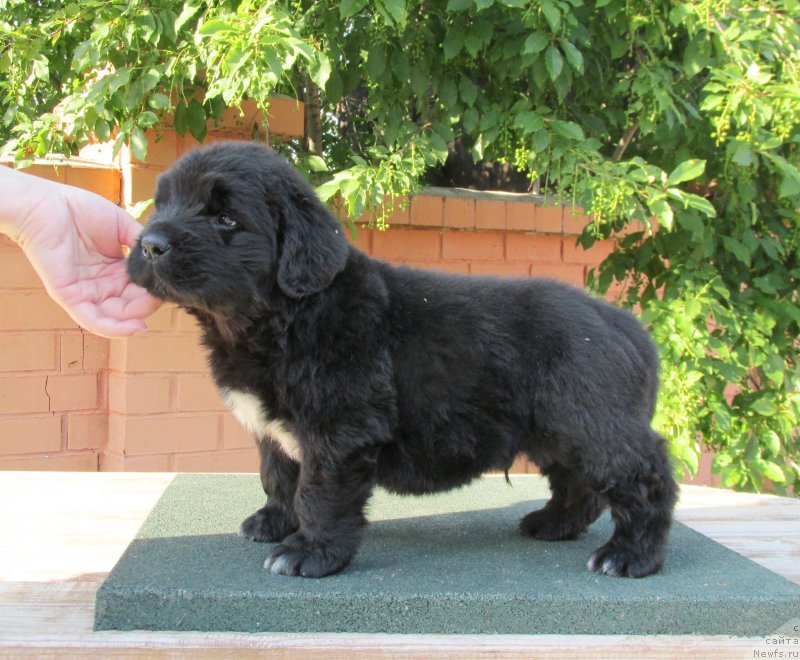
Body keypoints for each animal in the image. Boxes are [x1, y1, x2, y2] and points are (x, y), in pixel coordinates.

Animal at [128, 139, 680, 576]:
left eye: (225, 217)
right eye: (163, 204)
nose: (150, 245)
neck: (285, 319)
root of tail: (624, 324)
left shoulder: (339, 427)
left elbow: (319, 490)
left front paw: (310, 551)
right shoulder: (274, 431)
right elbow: (278, 476)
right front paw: (274, 522)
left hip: (591, 420)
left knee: (645, 475)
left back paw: (631, 555)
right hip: (557, 429)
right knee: (577, 482)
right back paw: (554, 523)